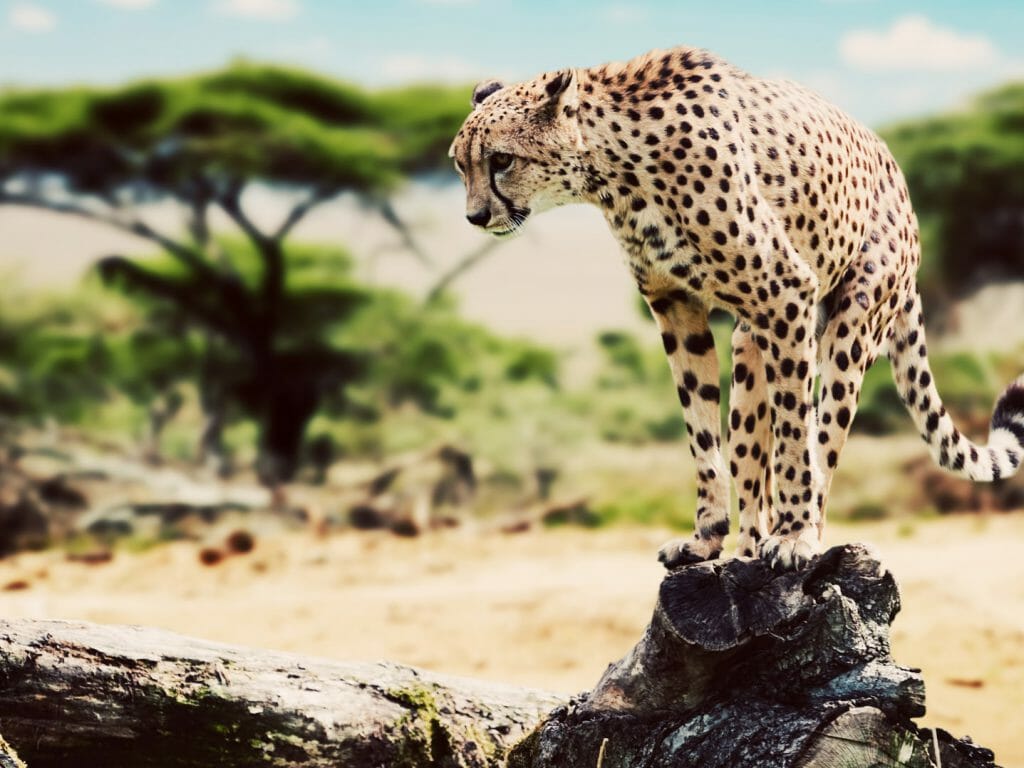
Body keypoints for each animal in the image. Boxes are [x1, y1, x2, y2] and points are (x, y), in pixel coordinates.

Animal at [448, 46, 1024, 570]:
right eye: (460, 165)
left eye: (502, 160)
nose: (475, 217)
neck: (614, 170)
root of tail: (899, 176)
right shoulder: (676, 305)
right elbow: (701, 428)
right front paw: (706, 538)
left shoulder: (786, 290)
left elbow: (795, 437)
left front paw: (793, 537)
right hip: (751, 341)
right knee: (752, 444)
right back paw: (747, 547)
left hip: (851, 323)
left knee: (823, 435)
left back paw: (805, 531)